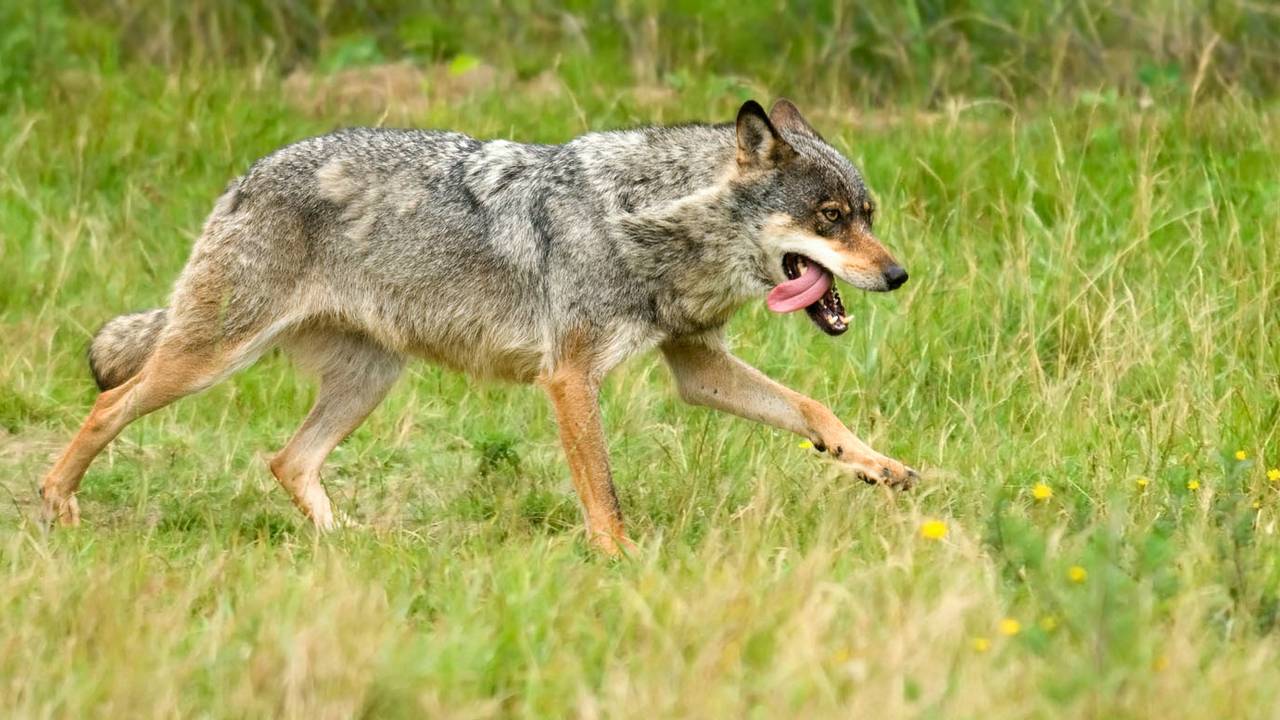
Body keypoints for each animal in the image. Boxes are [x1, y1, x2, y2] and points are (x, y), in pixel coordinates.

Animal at [40, 99, 917, 554]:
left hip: (370, 379)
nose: (900, 276)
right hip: (210, 358)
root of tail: (242, 179)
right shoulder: (570, 379)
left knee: (288, 461)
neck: (650, 220)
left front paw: (880, 467)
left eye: (867, 215)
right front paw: (624, 564)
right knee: (107, 407)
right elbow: (604, 493)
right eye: (830, 219)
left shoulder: (695, 368)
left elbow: (814, 411)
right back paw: (59, 508)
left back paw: (352, 546)